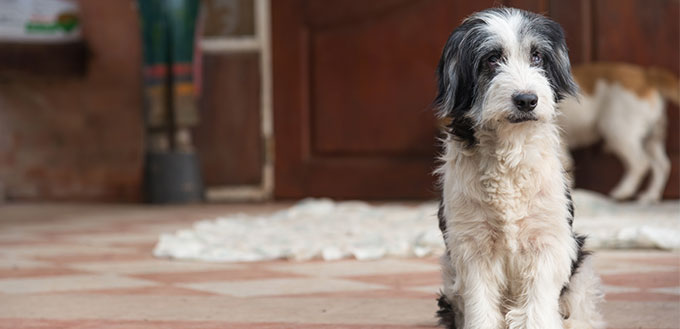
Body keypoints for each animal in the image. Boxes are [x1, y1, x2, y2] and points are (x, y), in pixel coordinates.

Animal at [432, 7, 604, 328]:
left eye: (536, 56)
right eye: (491, 59)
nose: (526, 100)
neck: (510, 151)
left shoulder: (548, 241)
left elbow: (537, 307)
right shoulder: (472, 247)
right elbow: (481, 306)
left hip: (581, 267)